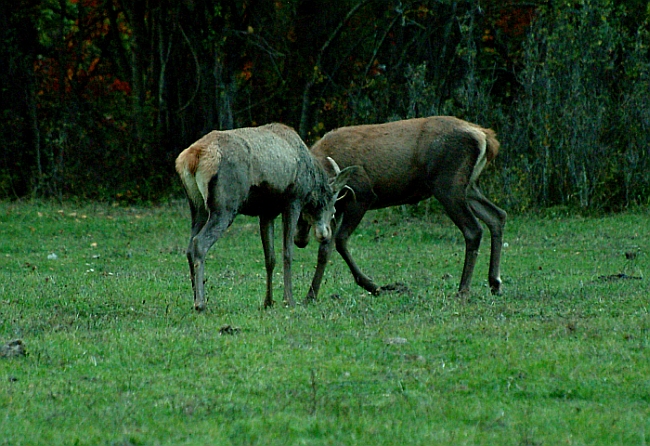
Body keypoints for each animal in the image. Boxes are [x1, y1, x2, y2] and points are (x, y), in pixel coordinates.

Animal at [176, 122, 354, 310]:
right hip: (224, 206)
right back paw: (200, 303)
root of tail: (191, 158)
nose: (324, 234)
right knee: (200, 243)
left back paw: (195, 297)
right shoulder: (293, 201)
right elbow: (287, 253)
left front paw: (268, 301)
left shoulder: (266, 212)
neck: (311, 183)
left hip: (197, 207)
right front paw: (288, 300)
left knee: (189, 247)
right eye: (332, 210)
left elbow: (270, 258)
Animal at [294, 116, 506, 302]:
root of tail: (485, 137)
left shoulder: (362, 196)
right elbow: (325, 249)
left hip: (448, 184)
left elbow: (340, 241)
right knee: (497, 215)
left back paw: (463, 290)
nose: (299, 241)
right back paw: (494, 283)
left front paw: (374, 287)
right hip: (468, 186)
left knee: (473, 229)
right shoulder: (339, 207)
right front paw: (310, 296)